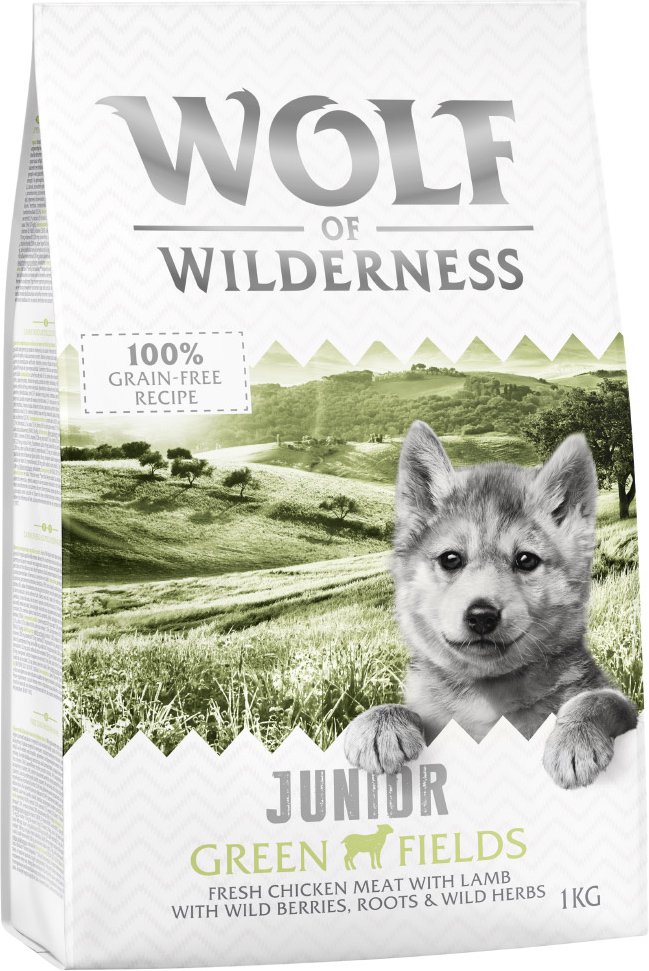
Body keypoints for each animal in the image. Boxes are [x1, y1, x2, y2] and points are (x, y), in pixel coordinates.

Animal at [344, 421, 637, 789]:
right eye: (451, 559)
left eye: (526, 560)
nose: (482, 616)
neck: (488, 698)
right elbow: (409, 710)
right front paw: (379, 723)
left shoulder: (620, 702)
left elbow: (600, 700)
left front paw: (576, 737)